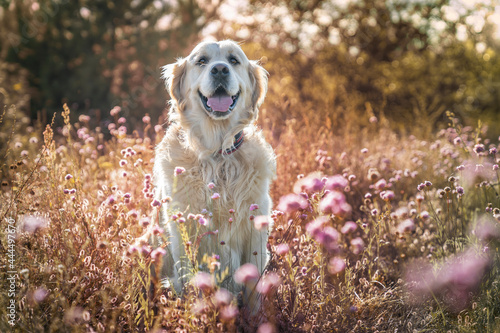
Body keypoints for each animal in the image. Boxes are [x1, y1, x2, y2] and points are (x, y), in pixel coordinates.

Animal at [153, 39, 278, 296]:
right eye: (201, 61)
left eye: (233, 60)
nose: (220, 69)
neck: (217, 154)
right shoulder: (182, 231)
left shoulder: (256, 230)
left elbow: (253, 289)